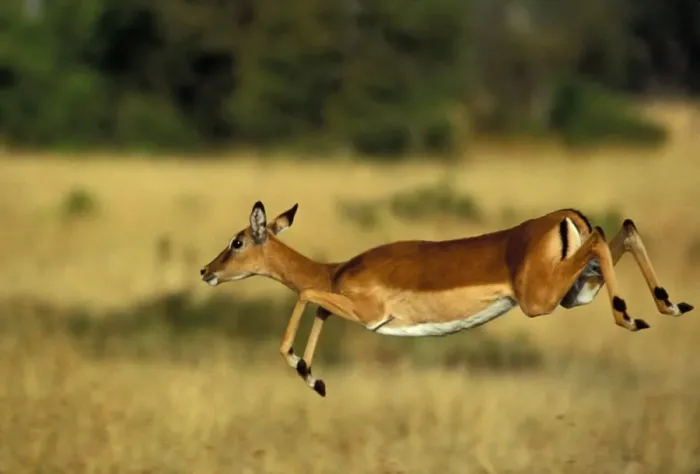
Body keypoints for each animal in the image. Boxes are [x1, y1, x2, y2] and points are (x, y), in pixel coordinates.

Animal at [200, 201, 693, 397]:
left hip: (542, 299)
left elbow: (306, 293)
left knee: (602, 236)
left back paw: (630, 316)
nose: (207, 271)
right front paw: (313, 378)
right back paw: (670, 306)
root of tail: (565, 216)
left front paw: (301, 368)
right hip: (576, 294)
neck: (337, 269)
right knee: (623, 228)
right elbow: (317, 305)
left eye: (237, 241)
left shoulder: (368, 313)